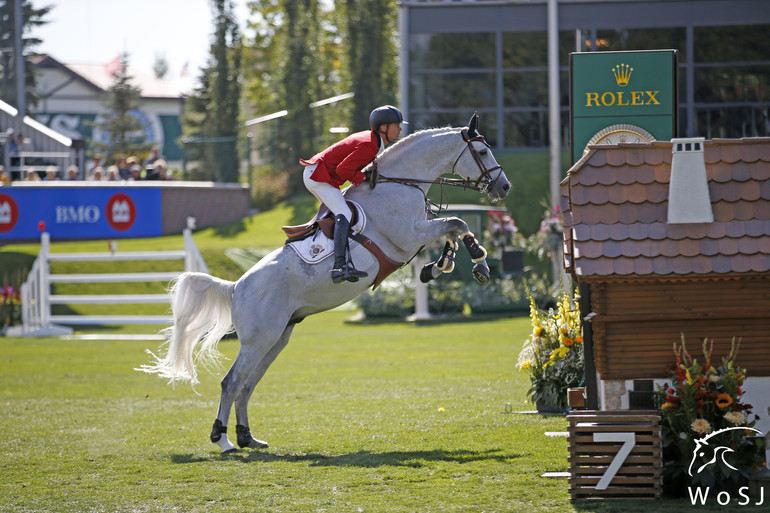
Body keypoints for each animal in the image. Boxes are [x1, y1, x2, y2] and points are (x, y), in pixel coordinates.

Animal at [140, 114, 510, 450]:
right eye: (483, 150)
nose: (504, 186)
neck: (400, 183)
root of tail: (237, 288)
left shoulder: (418, 234)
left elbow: (452, 229)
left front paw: (442, 266)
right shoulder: (408, 235)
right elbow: (457, 222)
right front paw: (475, 261)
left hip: (276, 338)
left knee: (247, 384)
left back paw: (248, 438)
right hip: (258, 340)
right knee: (231, 383)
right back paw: (224, 440)